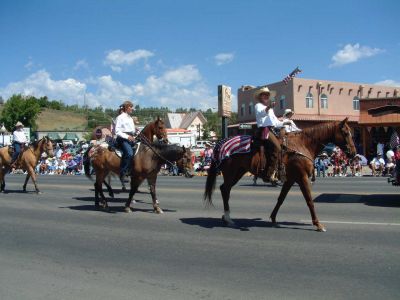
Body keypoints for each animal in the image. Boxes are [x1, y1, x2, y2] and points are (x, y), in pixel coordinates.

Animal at [205, 118, 354, 232]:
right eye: (346, 133)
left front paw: (273, 218)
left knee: (225, 189)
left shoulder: (290, 180)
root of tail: (219, 144)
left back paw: (226, 218)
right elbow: (309, 201)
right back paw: (228, 218)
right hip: (231, 172)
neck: (302, 145)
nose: (353, 152)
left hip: (238, 172)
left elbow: (281, 199)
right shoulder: (302, 178)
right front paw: (318, 224)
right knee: (225, 190)